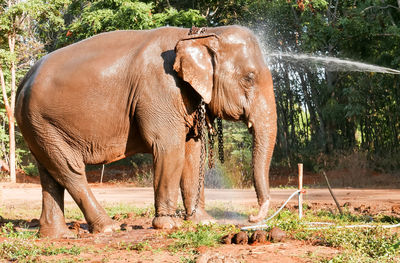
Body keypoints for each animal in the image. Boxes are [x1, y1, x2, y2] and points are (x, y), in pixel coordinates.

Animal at [16, 25, 278, 239]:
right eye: (249, 78)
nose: (252, 219)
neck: (200, 34)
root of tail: (23, 82)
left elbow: (192, 154)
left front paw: (204, 222)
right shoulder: (160, 89)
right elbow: (169, 149)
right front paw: (169, 225)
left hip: (39, 127)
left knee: (51, 172)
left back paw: (55, 235)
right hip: (41, 120)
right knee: (71, 170)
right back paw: (108, 228)